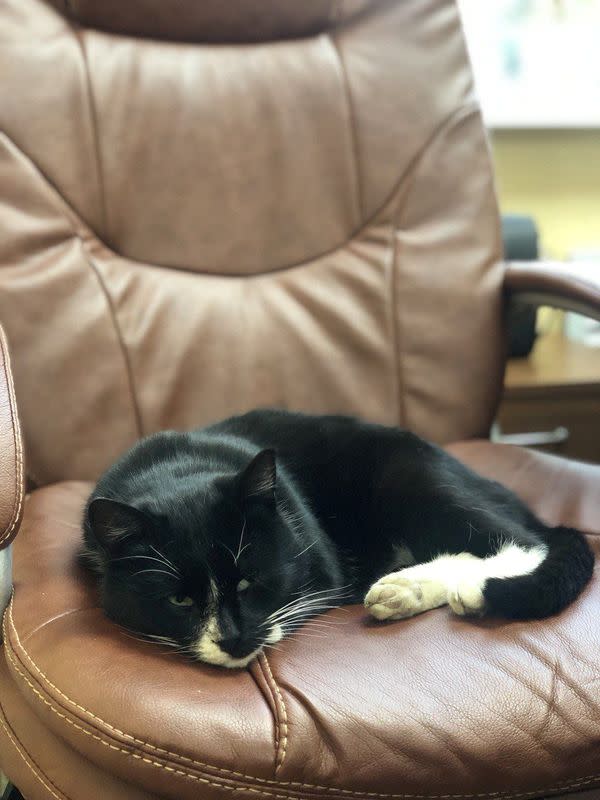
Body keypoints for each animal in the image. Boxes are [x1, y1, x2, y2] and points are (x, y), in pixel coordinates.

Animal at [81, 410, 596, 664]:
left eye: (249, 581)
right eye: (180, 600)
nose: (234, 639)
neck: (175, 472)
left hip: (409, 475)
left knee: (522, 540)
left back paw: (455, 590)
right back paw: (403, 591)